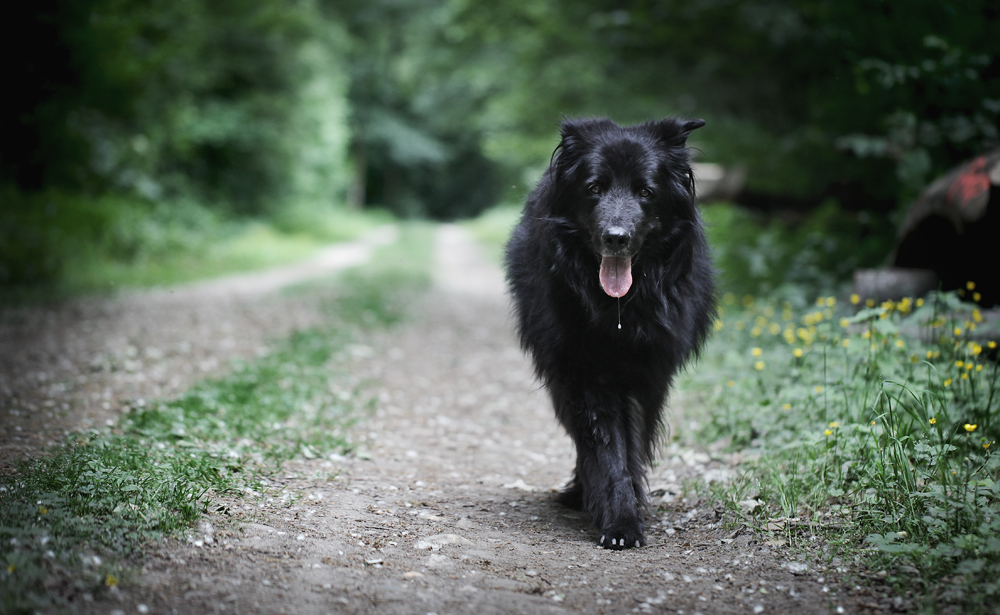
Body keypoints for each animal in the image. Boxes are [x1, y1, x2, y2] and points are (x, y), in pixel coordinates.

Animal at [504, 118, 716, 552]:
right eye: (594, 188)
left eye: (645, 192)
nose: (616, 238)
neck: (620, 310)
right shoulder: (587, 374)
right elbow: (607, 451)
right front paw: (620, 521)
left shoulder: (648, 376)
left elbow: (632, 446)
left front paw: (626, 510)